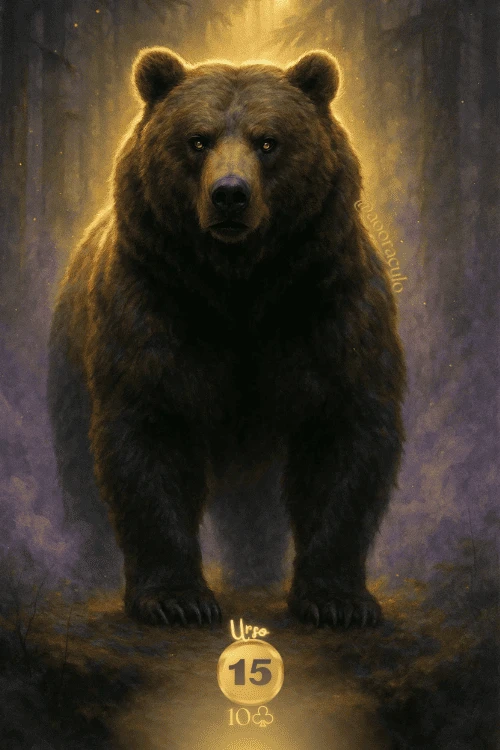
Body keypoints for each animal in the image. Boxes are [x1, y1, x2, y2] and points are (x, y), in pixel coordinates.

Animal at [47, 46, 406, 628]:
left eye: (269, 141)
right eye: (198, 139)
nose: (230, 195)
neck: (240, 289)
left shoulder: (329, 306)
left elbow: (346, 437)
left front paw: (338, 601)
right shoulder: (153, 308)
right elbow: (148, 439)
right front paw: (176, 599)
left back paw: (256, 574)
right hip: (69, 357)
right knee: (78, 466)